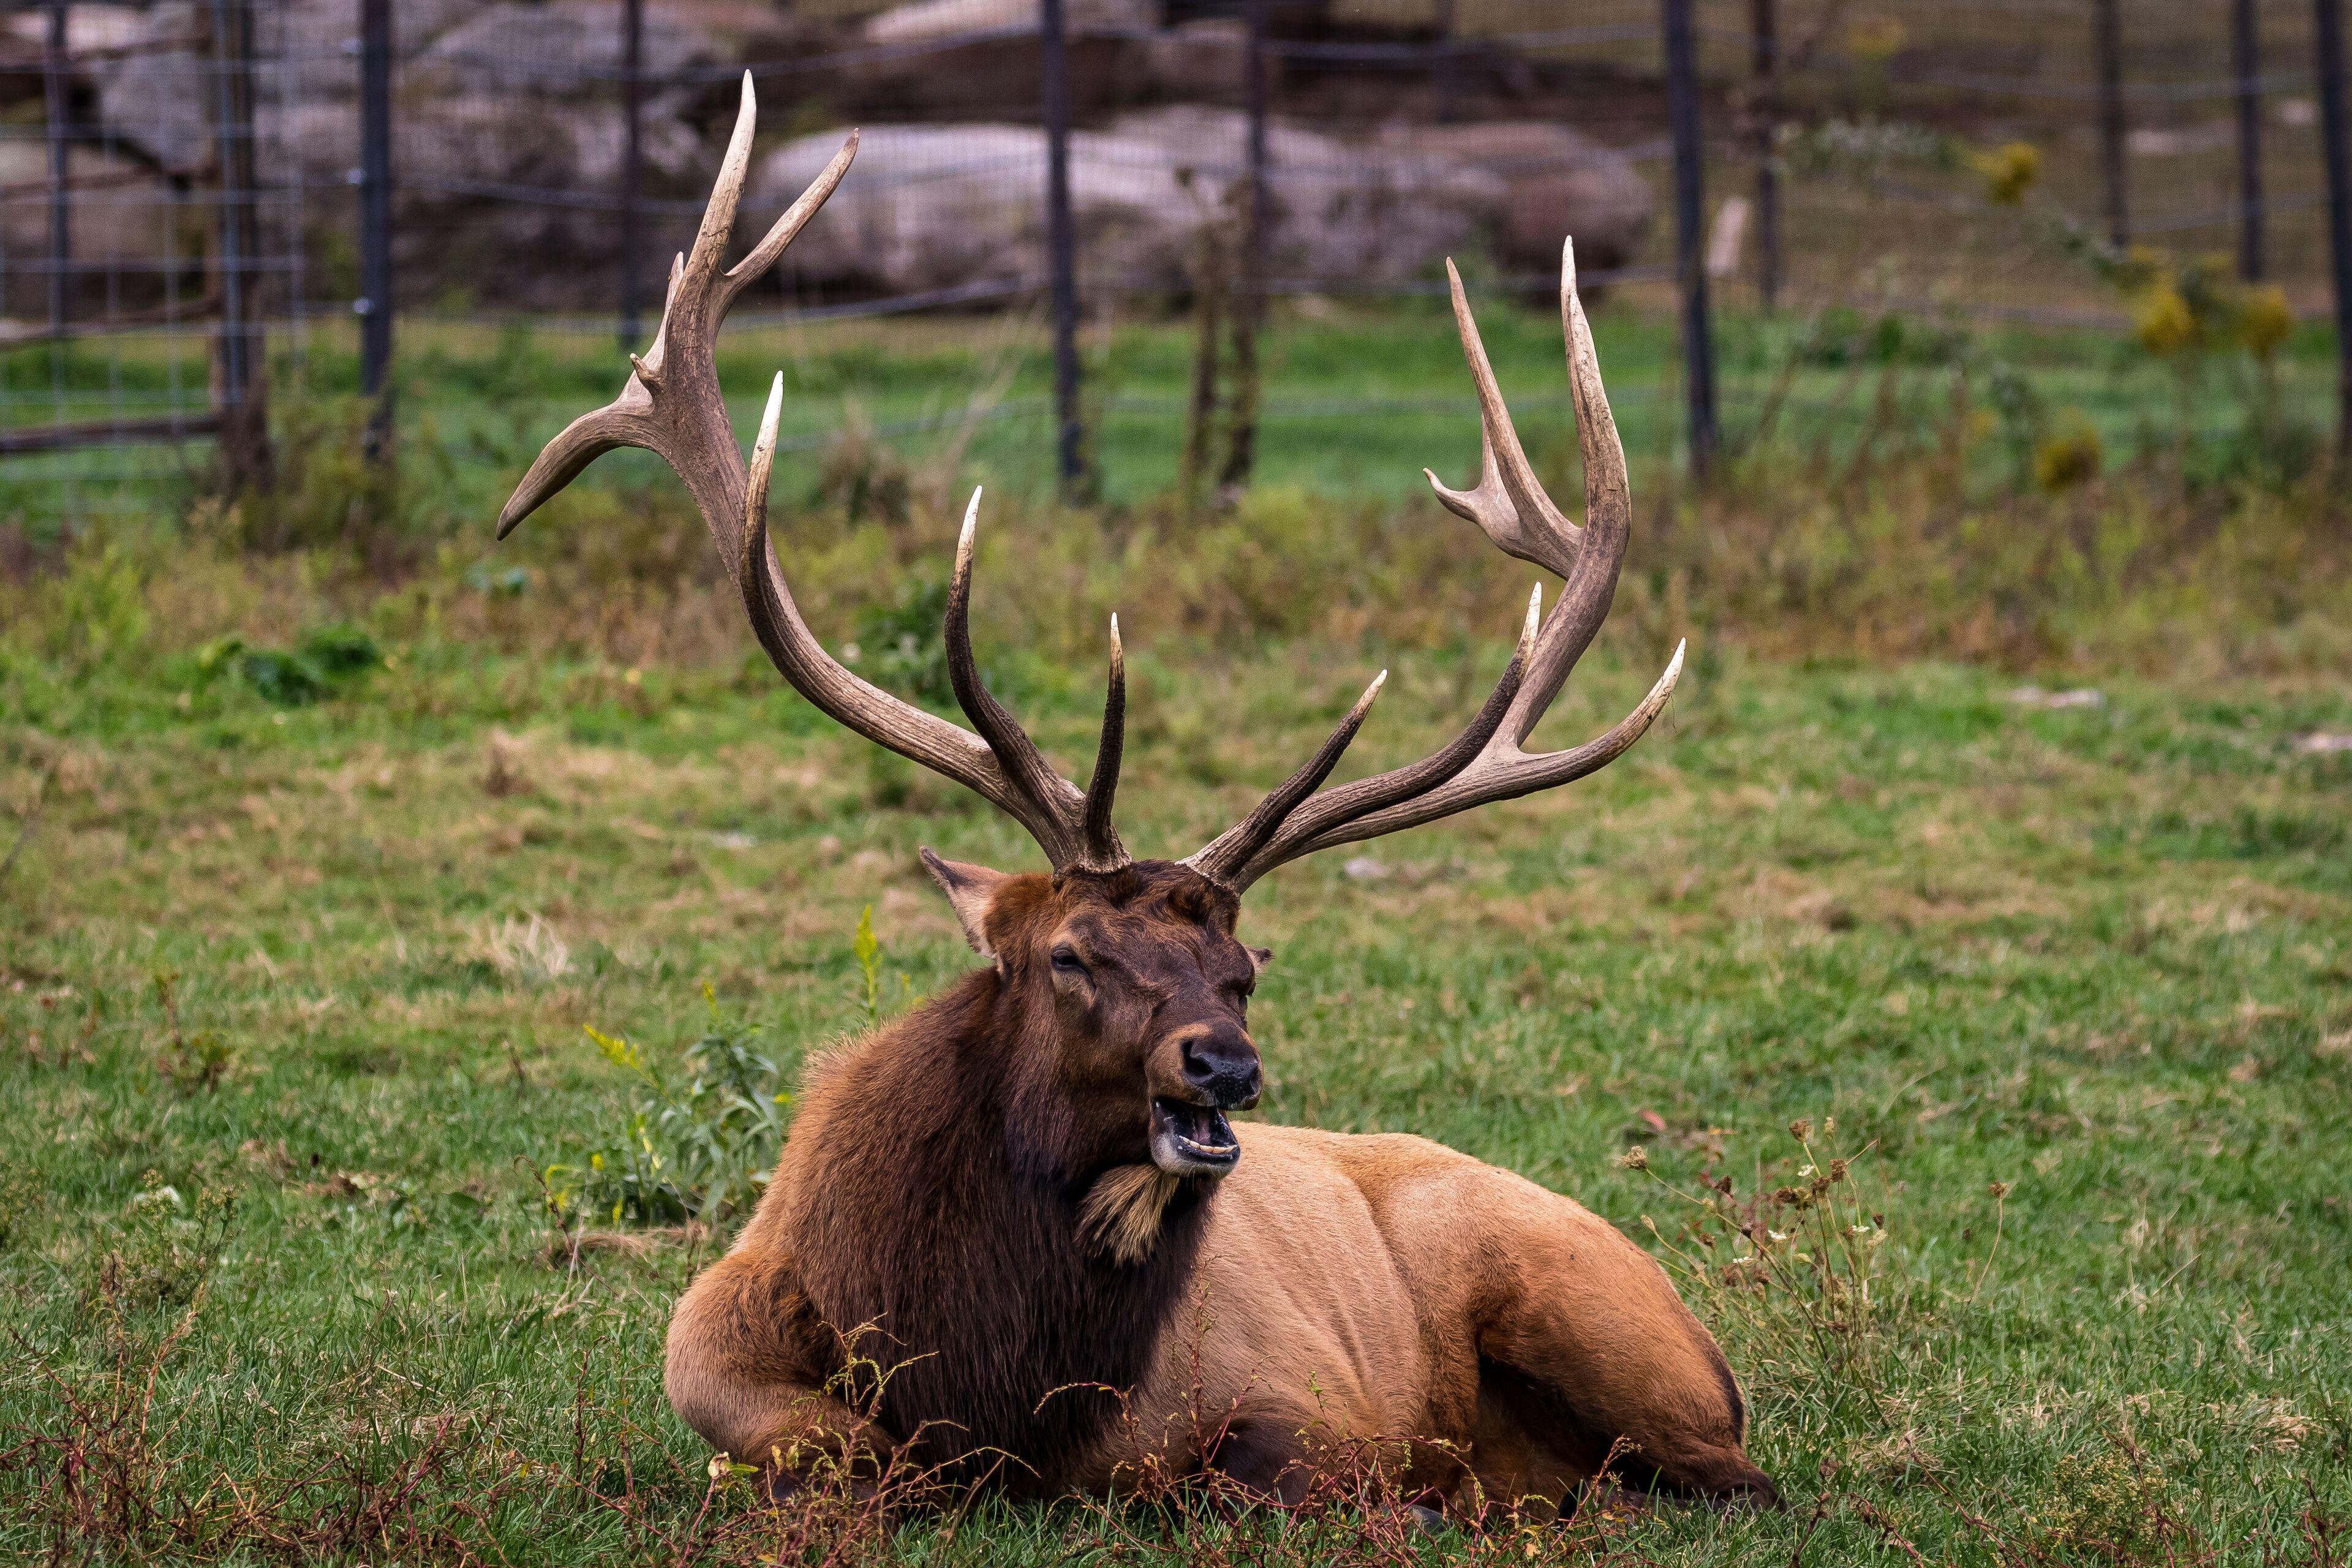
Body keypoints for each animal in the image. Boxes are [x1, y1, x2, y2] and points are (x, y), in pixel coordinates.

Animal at [496, 75, 1778, 1520]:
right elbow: (817, 1449)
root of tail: (1706, 1338)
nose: (1224, 1064)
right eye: (1070, 952)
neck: (986, 1393)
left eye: (1243, 970)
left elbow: (1246, 1472)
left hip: (1597, 1311)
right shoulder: (714, 1360)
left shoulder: (1304, 1405)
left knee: (1726, 1471)